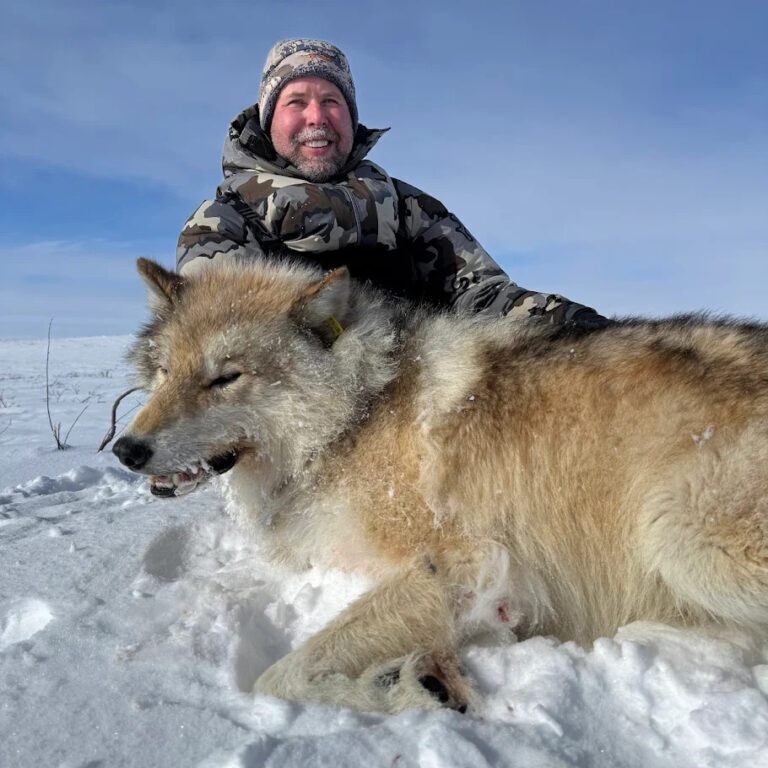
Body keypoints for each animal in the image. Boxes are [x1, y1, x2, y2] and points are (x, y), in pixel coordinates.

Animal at [113, 256, 768, 714]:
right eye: (164, 372)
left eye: (225, 378)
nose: (126, 449)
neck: (355, 415)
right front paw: (410, 680)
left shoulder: (467, 563)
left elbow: (280, 676)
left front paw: (403, 691)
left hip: (683, 538)